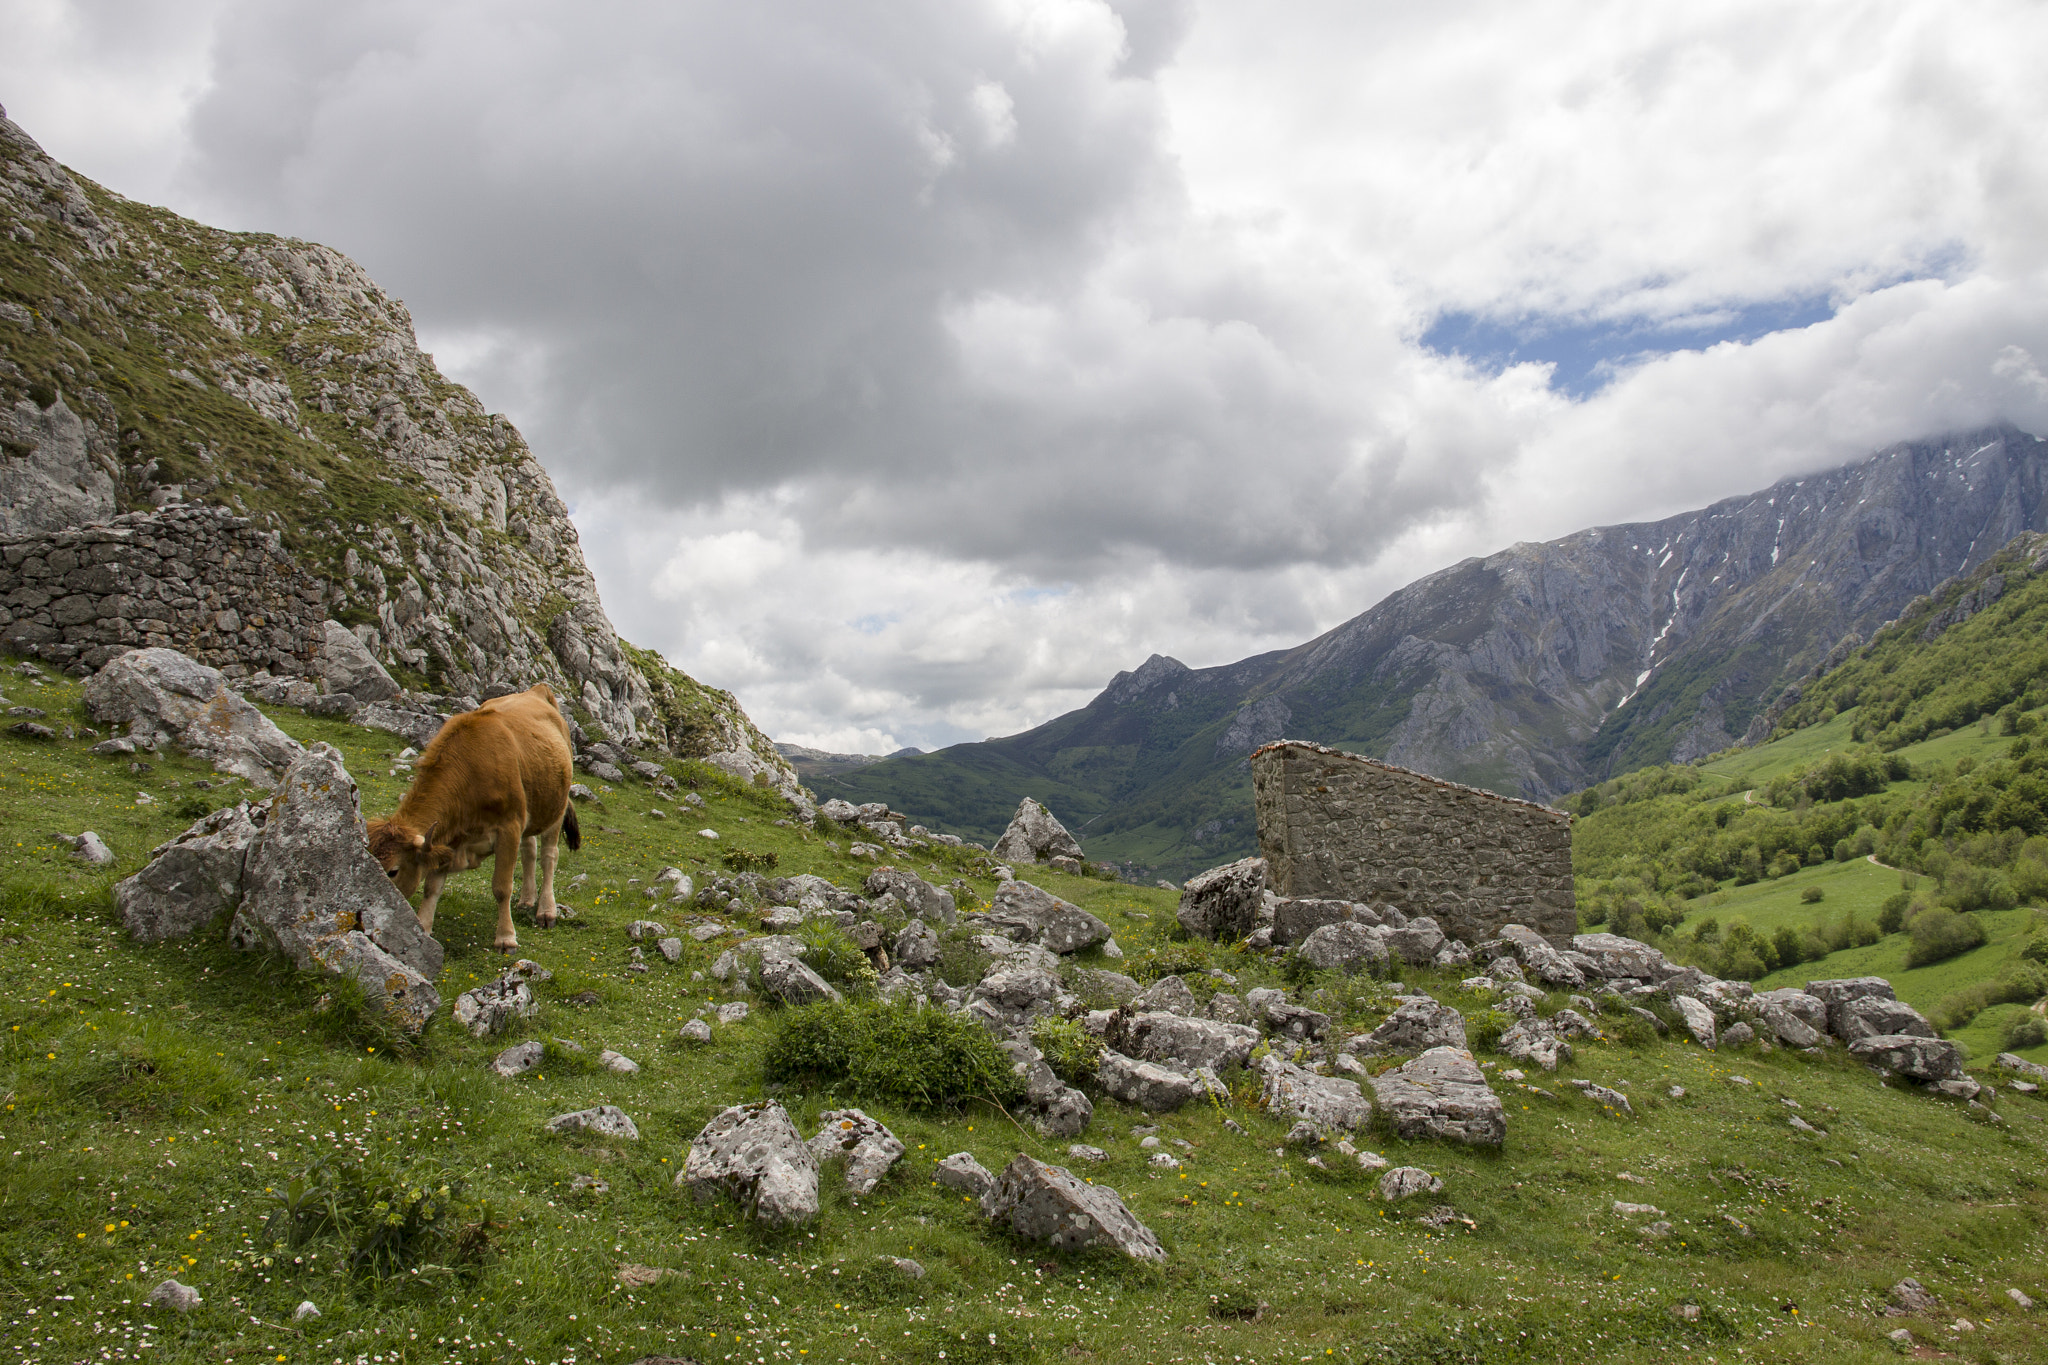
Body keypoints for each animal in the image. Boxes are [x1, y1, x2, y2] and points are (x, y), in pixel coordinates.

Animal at [365, 683, 581, 952]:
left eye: (393, 871)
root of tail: (537, 690)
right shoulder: (448, 838)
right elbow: (431, 887)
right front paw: (423, 928)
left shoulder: (509, 827)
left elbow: (501, 887)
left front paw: (506, 938)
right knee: (529, 850)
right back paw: (526, 900)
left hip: (555, 807)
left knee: (549, 857)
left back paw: (546, 911)